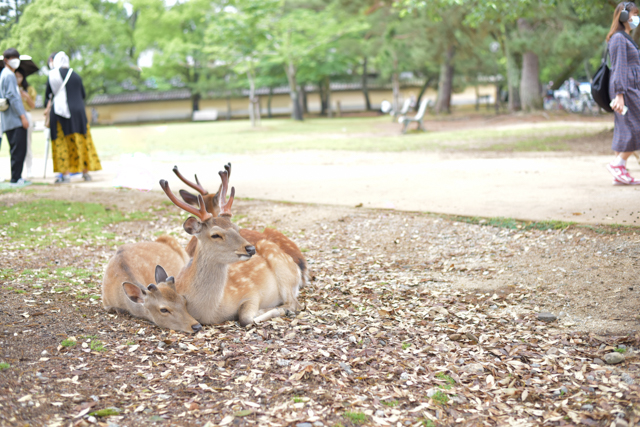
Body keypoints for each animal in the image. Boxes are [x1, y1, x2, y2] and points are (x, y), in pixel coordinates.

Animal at [159, 172, 302, 326]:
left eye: (236, 228)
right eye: (215, 235)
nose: (250, 248)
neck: (209, 312)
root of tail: (297, 268)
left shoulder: (251, 291)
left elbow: (245, 318)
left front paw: (267, 311)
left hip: (281, 266)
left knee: (294, 303)